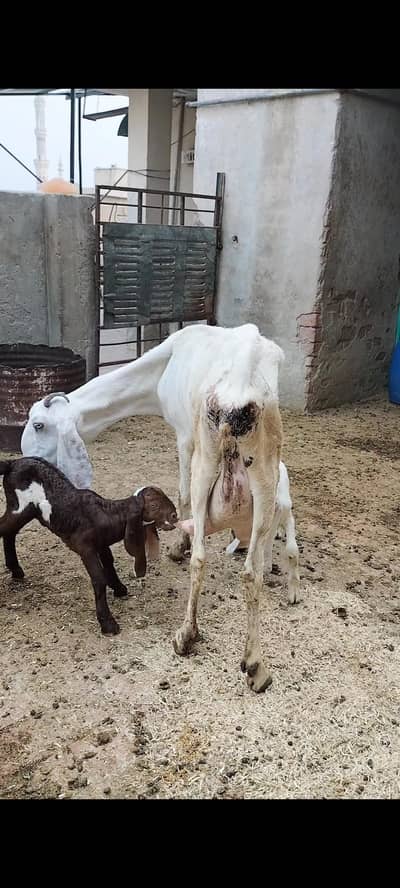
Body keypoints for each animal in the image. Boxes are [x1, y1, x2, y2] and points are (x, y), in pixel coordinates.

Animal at [0, 457, 177, 635]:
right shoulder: (86, 548)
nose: (174, 516)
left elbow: (109, 563)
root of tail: (11, 463)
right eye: (154, 506)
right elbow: (98, 578)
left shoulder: (101, 543)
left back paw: (16, 570)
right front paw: (108, 624)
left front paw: (119, 588)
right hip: (20, 507)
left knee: (10, 532)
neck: (109, 514)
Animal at [21, 323, 298, 691]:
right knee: (252, 570)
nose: (26, 459)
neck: (162, 367)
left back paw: (186, 634)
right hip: (265, 463)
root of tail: (240, 382)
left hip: (206, 457)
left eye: (39, 424)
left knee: (201, 554)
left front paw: (178, 547)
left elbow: (180, 496)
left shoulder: (184, 436)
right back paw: (256, 664)